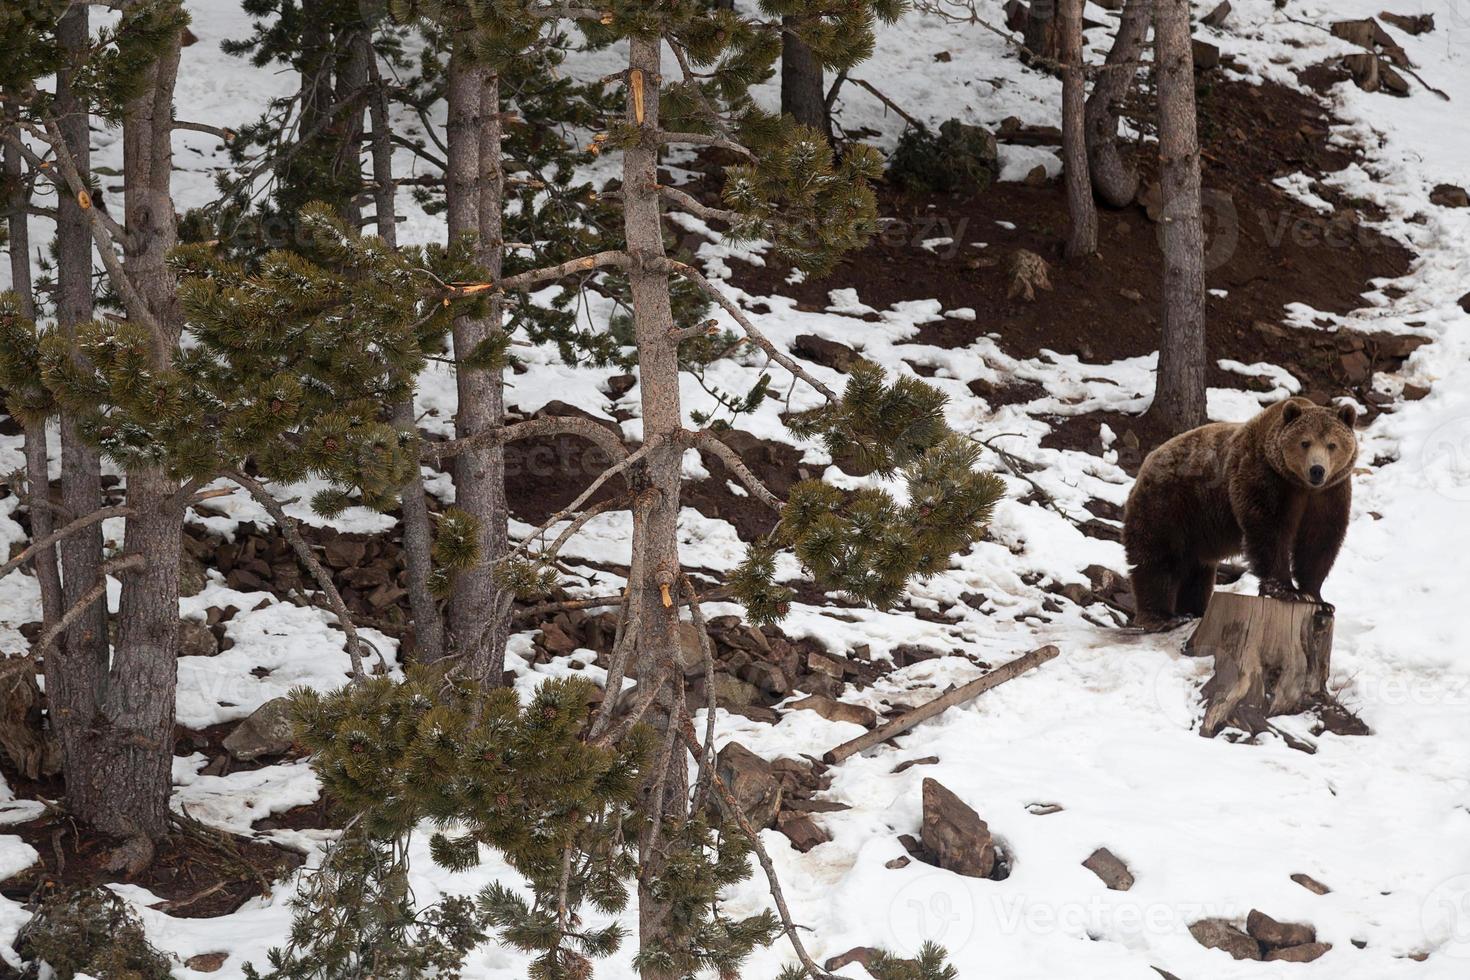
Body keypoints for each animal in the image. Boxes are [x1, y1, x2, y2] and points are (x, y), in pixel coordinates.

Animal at [1123, 396, 1352, 628]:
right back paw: (1163, 617)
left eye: (1332, 444)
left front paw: (1316, 597)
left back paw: (1193, 610)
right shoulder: (1264, 476)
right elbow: (1269, 529)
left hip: (1196, 527)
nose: (1317, 470)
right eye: (1305, 442)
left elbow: (1319, 539)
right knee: (1159, 558)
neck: (1299, 485)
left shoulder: (1329, 493)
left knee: (1196, 570)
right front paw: (1286, 590)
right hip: (1170, 504)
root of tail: (1147, 463)